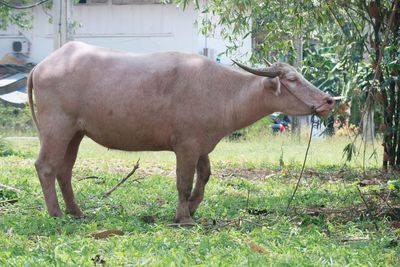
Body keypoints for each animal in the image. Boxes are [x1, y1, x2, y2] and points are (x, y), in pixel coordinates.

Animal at [27, 41, 334, 226]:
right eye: (293, 79)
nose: (330, 100)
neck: (221, 90)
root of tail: (41, 66)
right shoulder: (185, 145)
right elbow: (183, 182)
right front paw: (184, 217)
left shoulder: (202, 144)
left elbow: (204, 175)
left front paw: (193, 207)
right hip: (57, 127)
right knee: (46, 166)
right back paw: (56, 214)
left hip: (76, 132)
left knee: (64, 169)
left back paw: (76, 212)